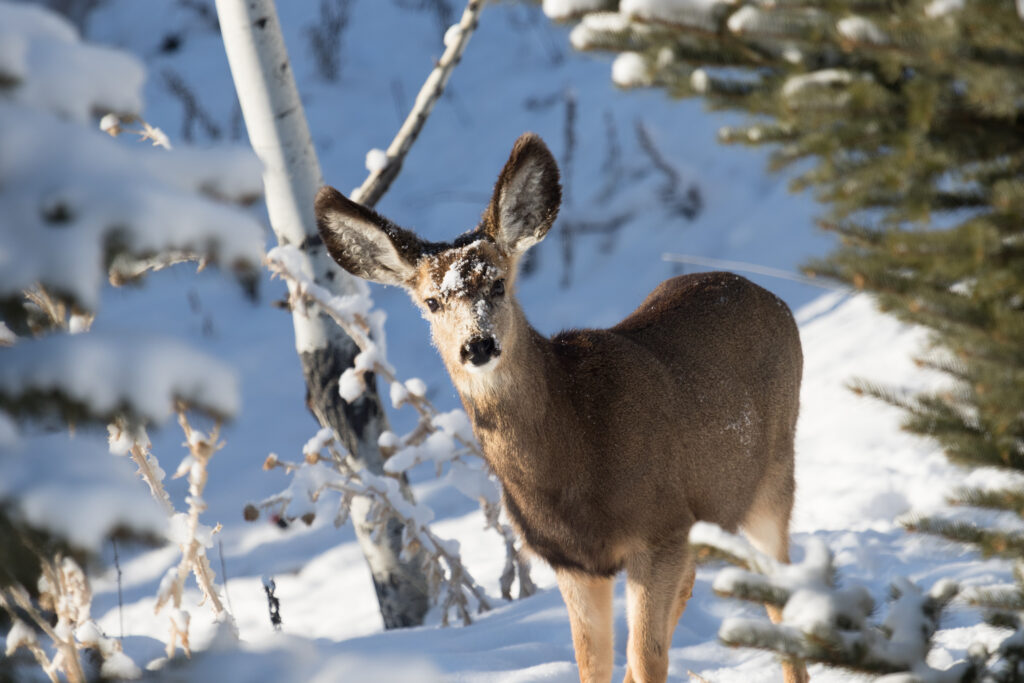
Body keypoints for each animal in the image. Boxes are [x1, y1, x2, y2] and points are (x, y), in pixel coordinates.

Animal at [313, 135, 806, 683]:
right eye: (432, 302)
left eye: (498, 284)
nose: (477, 346)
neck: (576, 452)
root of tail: (770, 296)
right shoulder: (572, 560)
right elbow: (593, 664)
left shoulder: (661, 529)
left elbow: (647, 658)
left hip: (773, 476)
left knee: (781, 597)